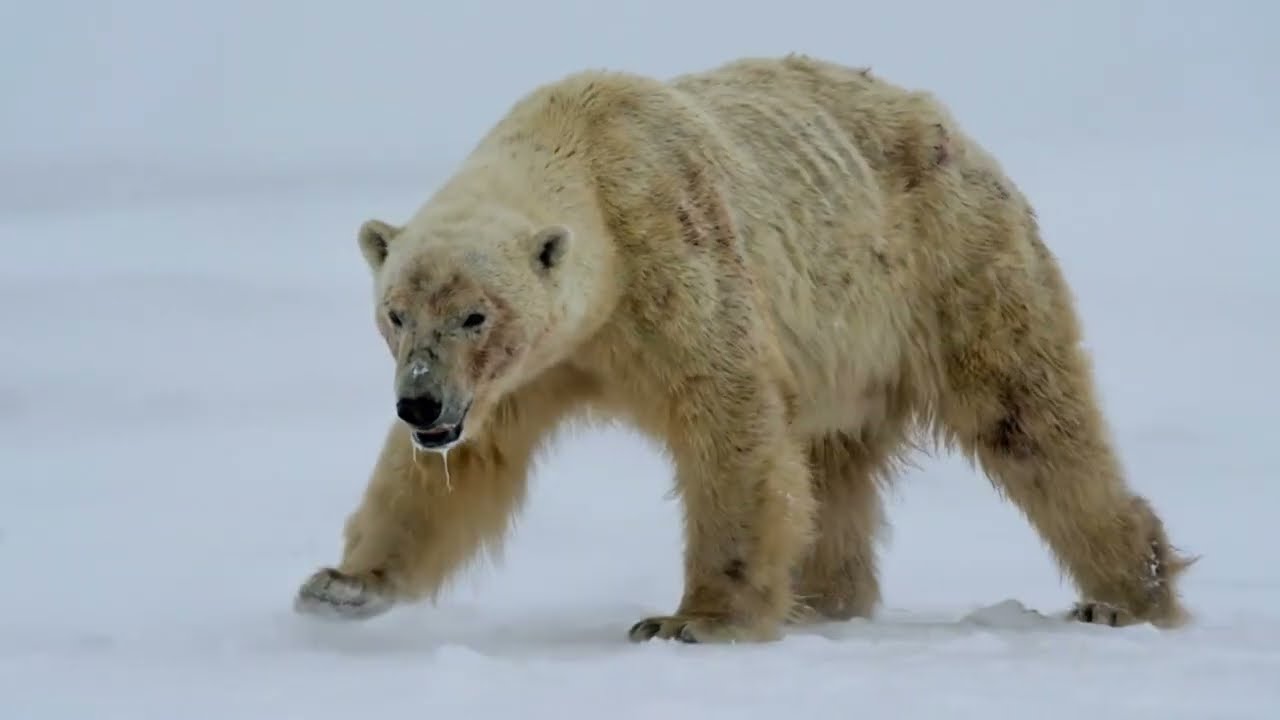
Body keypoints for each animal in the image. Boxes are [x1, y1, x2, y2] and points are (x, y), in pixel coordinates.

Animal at [294, 53, 1193, 642]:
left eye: (475, 315)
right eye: (396, 313)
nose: (419, 403)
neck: (583, 147)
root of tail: (955, 129)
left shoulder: (673, 257)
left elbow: (728, 425)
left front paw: (693, 620)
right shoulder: (530, 370)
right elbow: (460, 466)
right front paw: (340, 585)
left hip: (948, 269)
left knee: (1032, 418)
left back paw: (1126, 595)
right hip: (850, 351)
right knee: (835, 469)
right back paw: (822, 598)